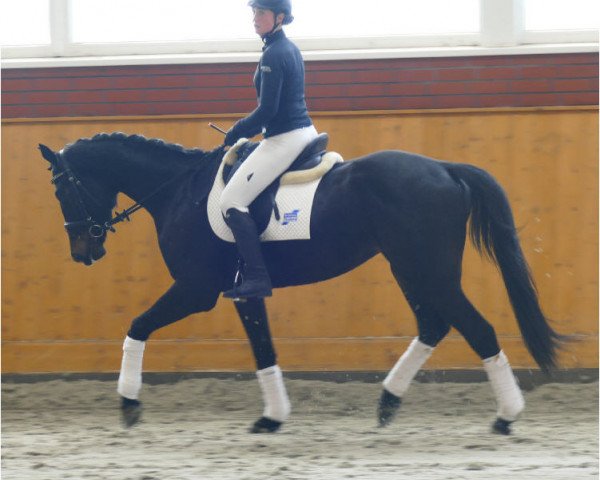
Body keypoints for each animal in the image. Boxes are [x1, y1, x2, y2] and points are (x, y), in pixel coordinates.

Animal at [37, 132, 564, 436]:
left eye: (61, 188)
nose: (83, 251)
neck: (179, 191)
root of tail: (444, 169)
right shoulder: (243, 293)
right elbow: (263, 350)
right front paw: (272, 416)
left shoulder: (196, 289)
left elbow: (138, 326)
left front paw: (128, 403)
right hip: (410, 268)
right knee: (434, 325)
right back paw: (387, 402)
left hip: (428, 270)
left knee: (480, 331)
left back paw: (505, 416)